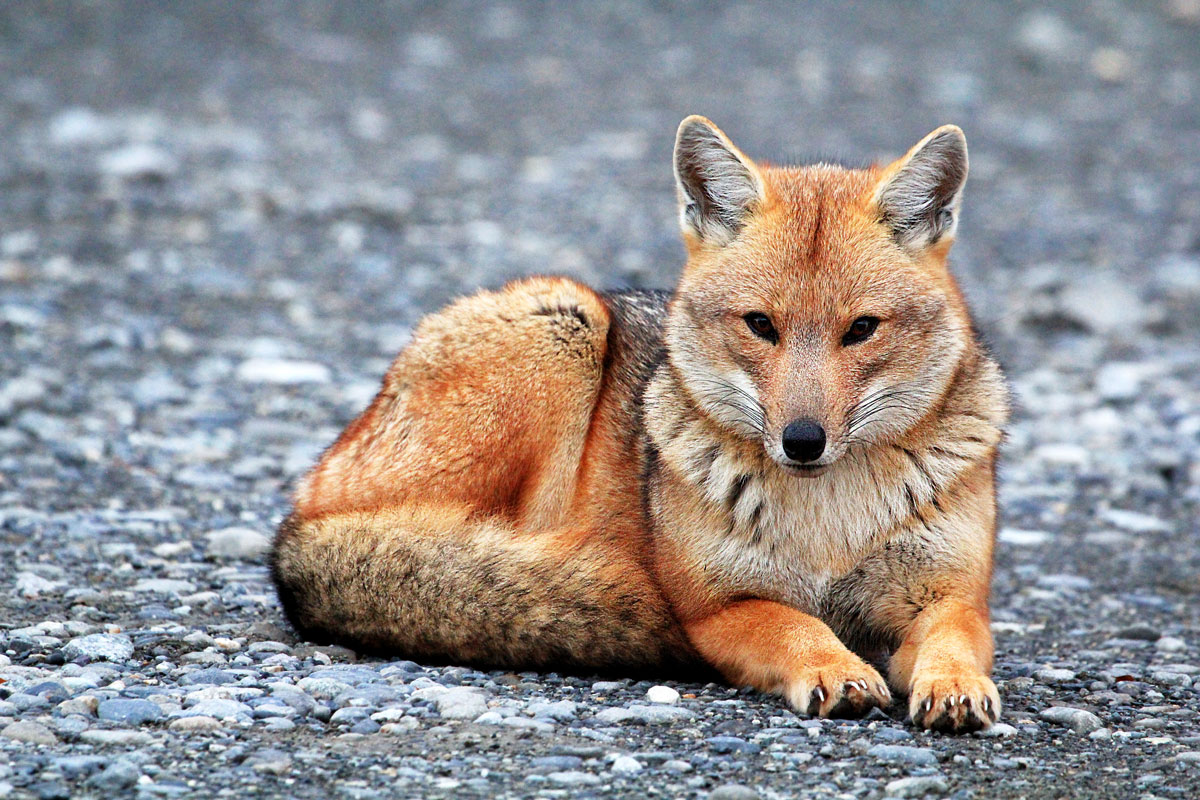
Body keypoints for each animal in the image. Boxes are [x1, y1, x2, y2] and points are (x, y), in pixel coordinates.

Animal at [274, 115, 1012, 734]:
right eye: (760, 325)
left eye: (861, 329)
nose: (802, 441)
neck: (827, 524)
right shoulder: (717, 608)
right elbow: (796, 627)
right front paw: (835, 667)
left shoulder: (953, 595)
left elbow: (952, 641)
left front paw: (953, 685)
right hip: (565, 324)